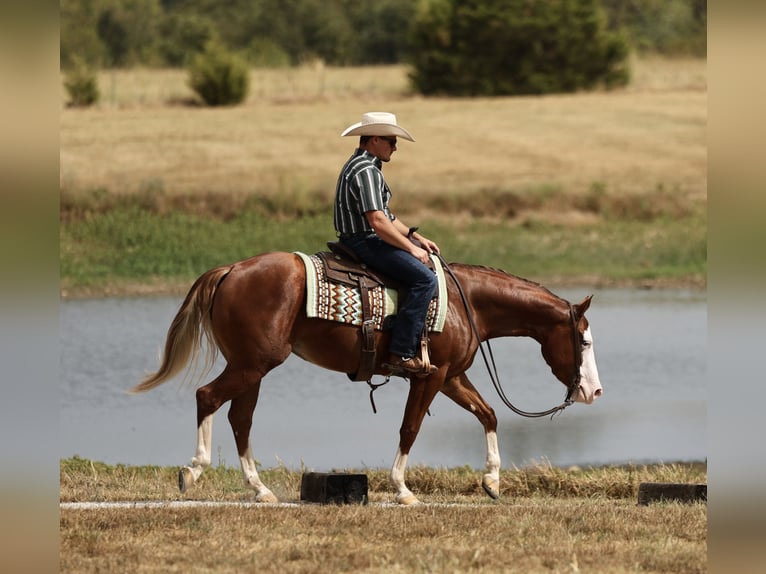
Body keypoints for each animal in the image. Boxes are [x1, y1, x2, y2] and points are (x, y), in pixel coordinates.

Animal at [131, 251, 602, 505]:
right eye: (584, 340)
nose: (593, 390)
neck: (467, 303)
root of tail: (230, 269)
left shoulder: (451, 376)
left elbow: (488, 415)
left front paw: (492, 481)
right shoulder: (429, 377)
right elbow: (410, 428)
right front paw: (402, 489)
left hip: (253, 366)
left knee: (239, 418)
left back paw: (260, 489)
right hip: (253, 364)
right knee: (208, 397)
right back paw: (192, 472)